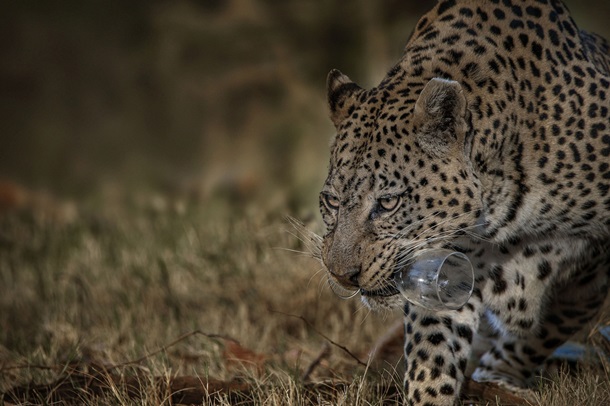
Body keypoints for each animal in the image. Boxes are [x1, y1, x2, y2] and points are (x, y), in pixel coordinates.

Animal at [318, 0, 608, 406]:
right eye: (330, 200)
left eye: (388, 203)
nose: (342, 275)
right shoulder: (446, 272)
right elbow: (433, 355)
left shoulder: (590, 271)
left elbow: (549, 325)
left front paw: (500, 375)